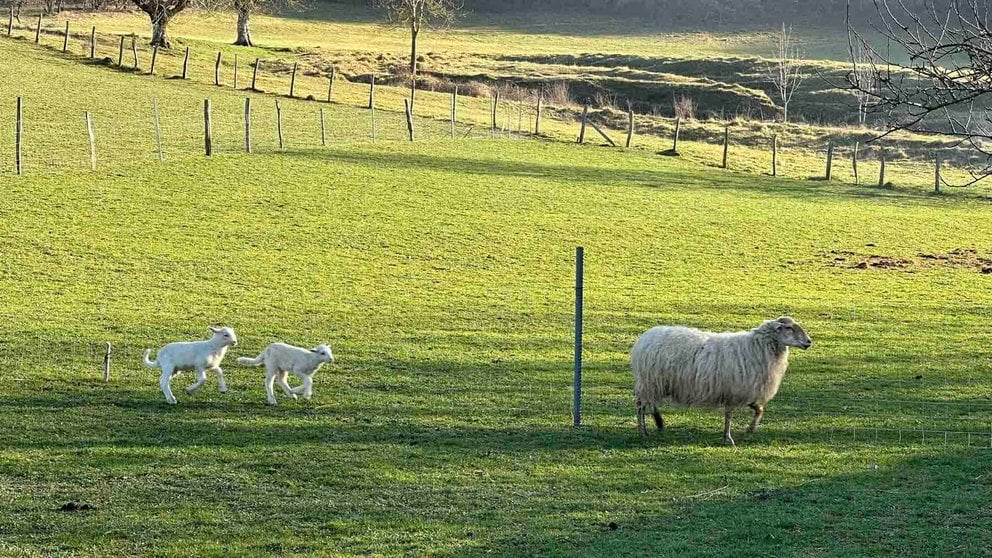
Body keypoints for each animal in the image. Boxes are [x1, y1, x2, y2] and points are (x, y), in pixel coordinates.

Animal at [632, 318, 808, 448]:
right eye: (789, 328)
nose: (809, 341)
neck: (757, 347)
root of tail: (644, 339)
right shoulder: (733, 391)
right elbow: (729, 415)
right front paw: (728, 438)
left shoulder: (745, 390)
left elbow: (759, 409)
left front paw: (750, 429)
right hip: (649, 382)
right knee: (641, 405)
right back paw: (643, 431)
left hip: (656, 384)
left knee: (650, 403)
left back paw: (658, 422)